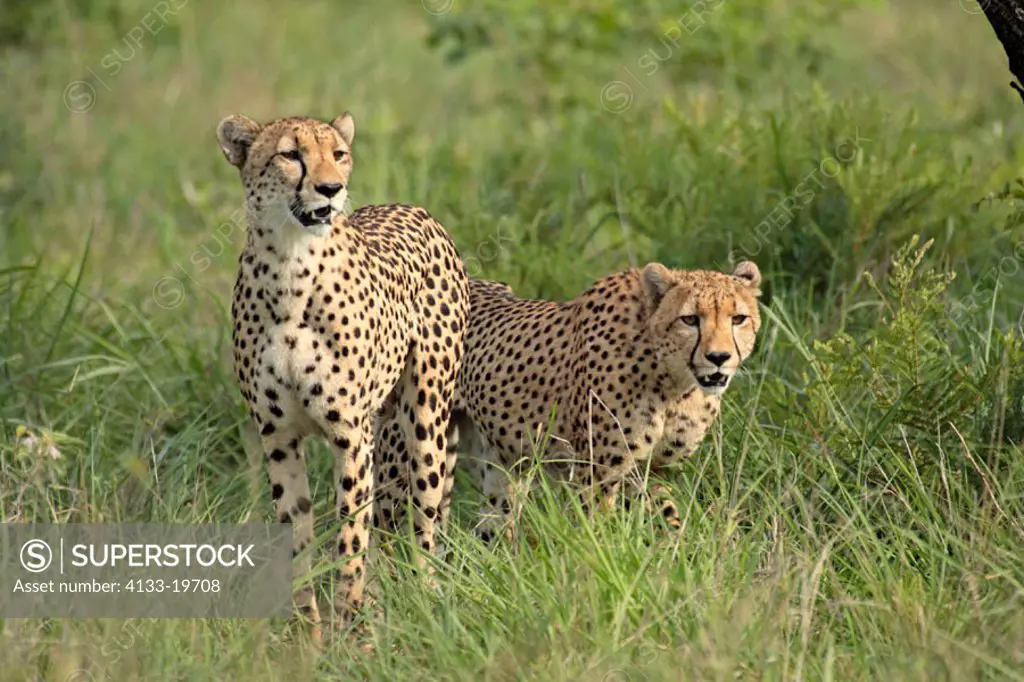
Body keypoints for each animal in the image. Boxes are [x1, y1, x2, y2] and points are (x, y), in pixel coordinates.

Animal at [219, 112, 471, 638]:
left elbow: (352, 535)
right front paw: (305, 629)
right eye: (290, 155)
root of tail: (413, 207)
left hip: (425, 419)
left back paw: (427, 596)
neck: (290, 270)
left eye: (338, 154)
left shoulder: (351, 435)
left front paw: (353, 625)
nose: (331, 189)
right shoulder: (278, 436)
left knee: (426, 516)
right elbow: (296, 533)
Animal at [440, 259, 761, 536]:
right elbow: (599, 531)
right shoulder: (598, 472)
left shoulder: (650, 470)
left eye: (738, 319)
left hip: (497, 461)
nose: (719, 357)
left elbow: (665, 518)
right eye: (690, 319)